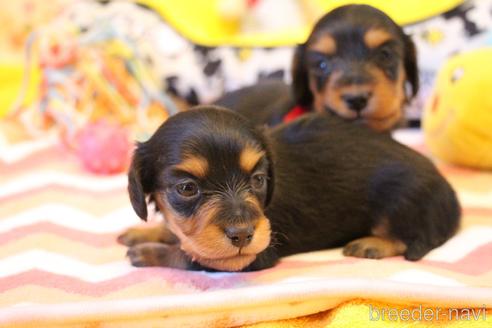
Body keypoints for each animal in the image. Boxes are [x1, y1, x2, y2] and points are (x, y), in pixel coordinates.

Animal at [117, 105, 460, 272]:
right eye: (187, 188)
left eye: (258, 179)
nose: (242, 236)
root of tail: (451, 197)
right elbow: (180, 235)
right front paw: (145, 232)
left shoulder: (254, 255)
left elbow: (192, 257)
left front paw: (148, 252)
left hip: (401, 201)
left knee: (408, 236)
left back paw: (371, 244)